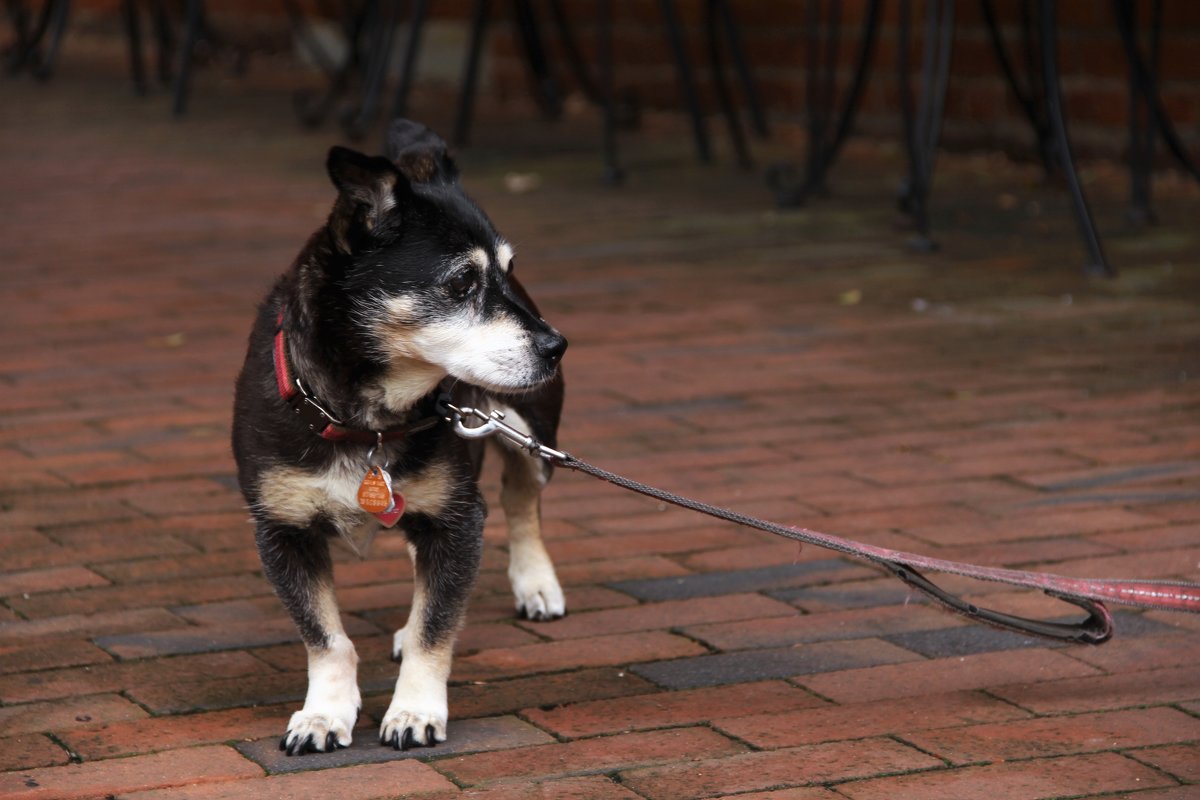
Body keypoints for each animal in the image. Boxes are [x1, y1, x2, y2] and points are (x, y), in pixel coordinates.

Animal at [235, 120, 571, 758]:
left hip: (531, 433)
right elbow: (325, 637)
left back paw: (536, 583)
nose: (557, 345)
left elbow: (433, 631)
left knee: (523, 498)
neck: (364, 419)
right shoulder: (282, 531)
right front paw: (324, 715)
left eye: (508, 269)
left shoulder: (459, 517)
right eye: (463, 282)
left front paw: (415, 710)